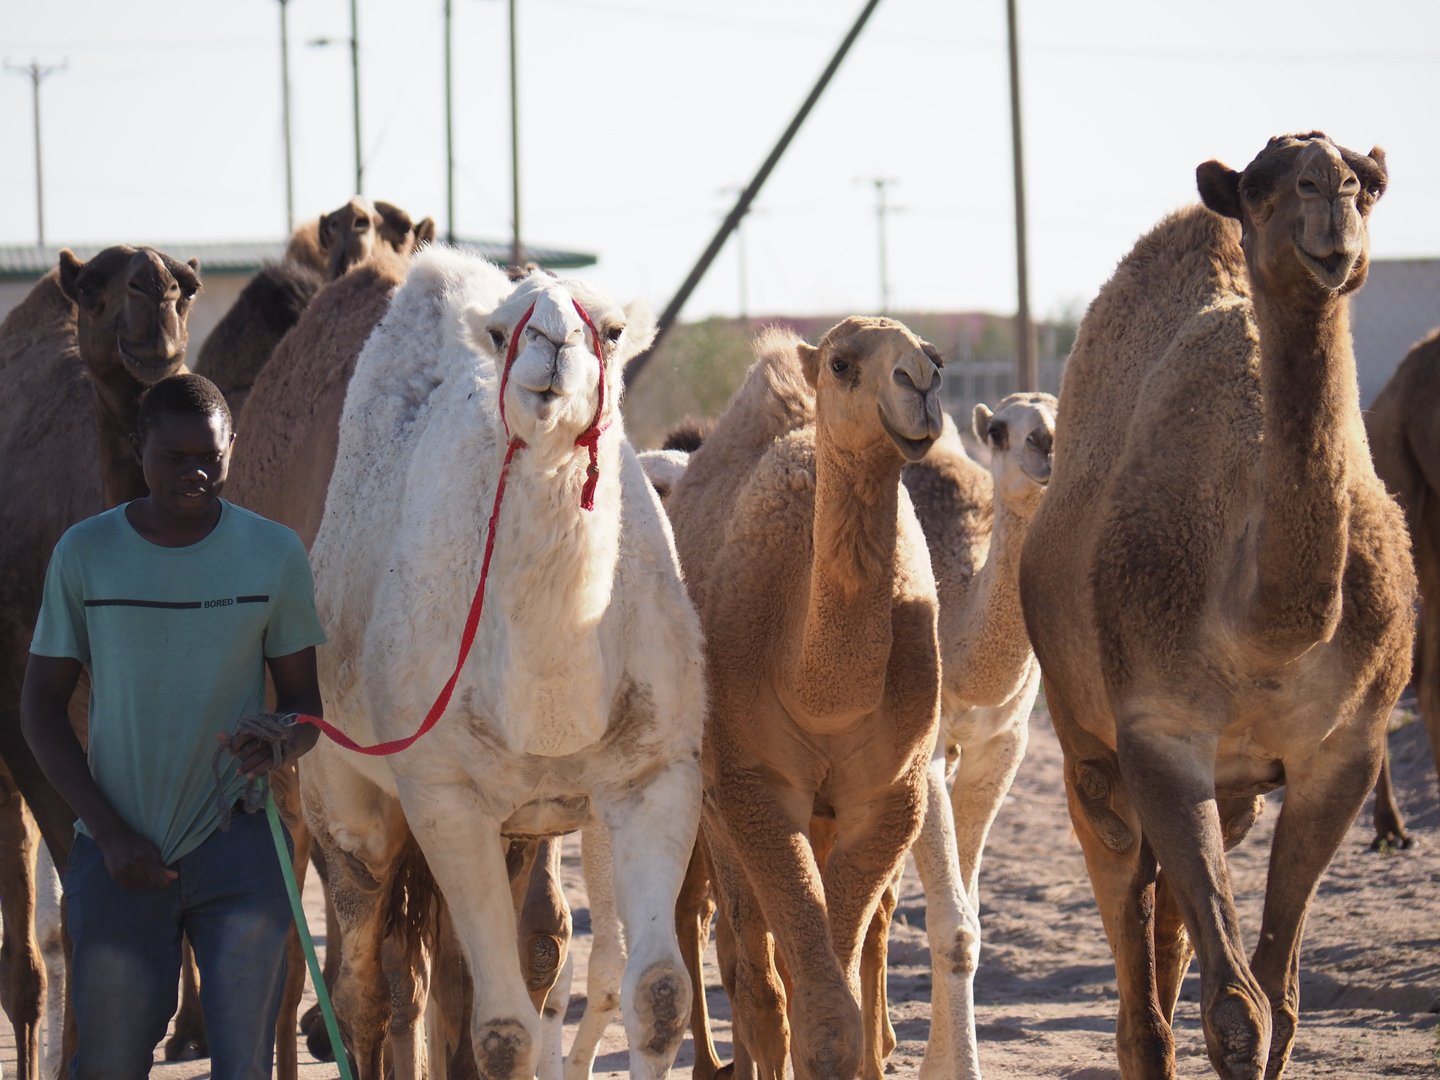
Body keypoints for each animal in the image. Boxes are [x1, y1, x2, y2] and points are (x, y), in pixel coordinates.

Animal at [300, 248, 704, 1080]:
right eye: (499, 329)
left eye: (612, 329)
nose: (551, 343)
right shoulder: (447, 797)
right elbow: (504, 1032)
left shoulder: (656, 773)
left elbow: (656, 996)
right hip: (344, 799)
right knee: (363, 982)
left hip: (521, 828)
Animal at [663, 319, 964, 1080]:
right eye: (844, 363)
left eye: (936, 358)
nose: (920, 383)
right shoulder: (752, 787)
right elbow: (809, 1005)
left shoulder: (887, 797)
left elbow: (836, 996)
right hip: (713, 806)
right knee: (741, 958)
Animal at [1019, 133, 1413, 1080]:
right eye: (1265, 190)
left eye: (1368, 187)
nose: (1328, 192)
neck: (1265, 628)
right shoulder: (1159, 731)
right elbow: (1237, 1009)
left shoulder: (1344, 750)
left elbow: (1278, 1001)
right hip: (1089, 743)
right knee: (1126, 881)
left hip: (1235, 789)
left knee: (1175, 912)